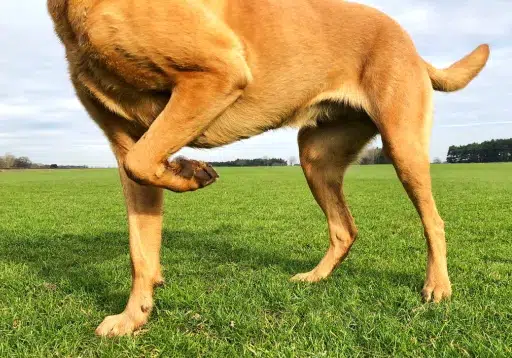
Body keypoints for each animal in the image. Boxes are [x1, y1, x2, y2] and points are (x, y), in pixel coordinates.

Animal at [47, 0, 488, 338]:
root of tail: (412, 46)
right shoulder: (125, 141)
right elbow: (140, 247)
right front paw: (133, 316)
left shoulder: (217, 72)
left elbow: (143, 164)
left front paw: (190, 172)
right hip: (316, 157)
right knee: (344, 229)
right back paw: (315, 277)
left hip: (402, 144)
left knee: (433, 220)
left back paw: (437, 286)